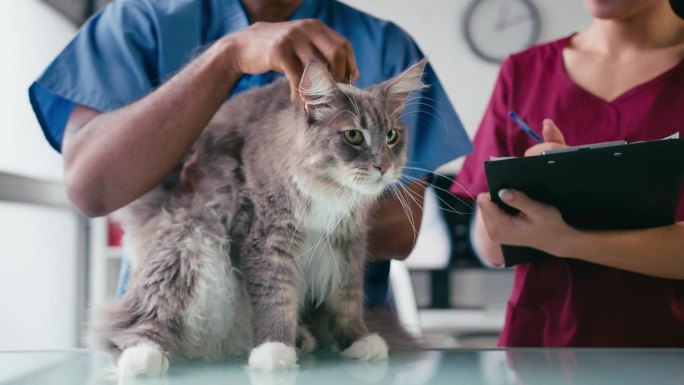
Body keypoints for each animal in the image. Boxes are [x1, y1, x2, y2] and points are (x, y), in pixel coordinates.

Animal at [87, 59, 424, 376]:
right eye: (353, 136)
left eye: (391, 136)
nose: (383, 166)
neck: (328, 191)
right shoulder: (266, 234)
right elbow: (274, 296)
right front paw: (273, 349)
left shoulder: (348, 241)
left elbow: (348, 298)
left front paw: (357, 340)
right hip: (191, 243)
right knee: (129, 320)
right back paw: (142, 356)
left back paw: (303, 338)